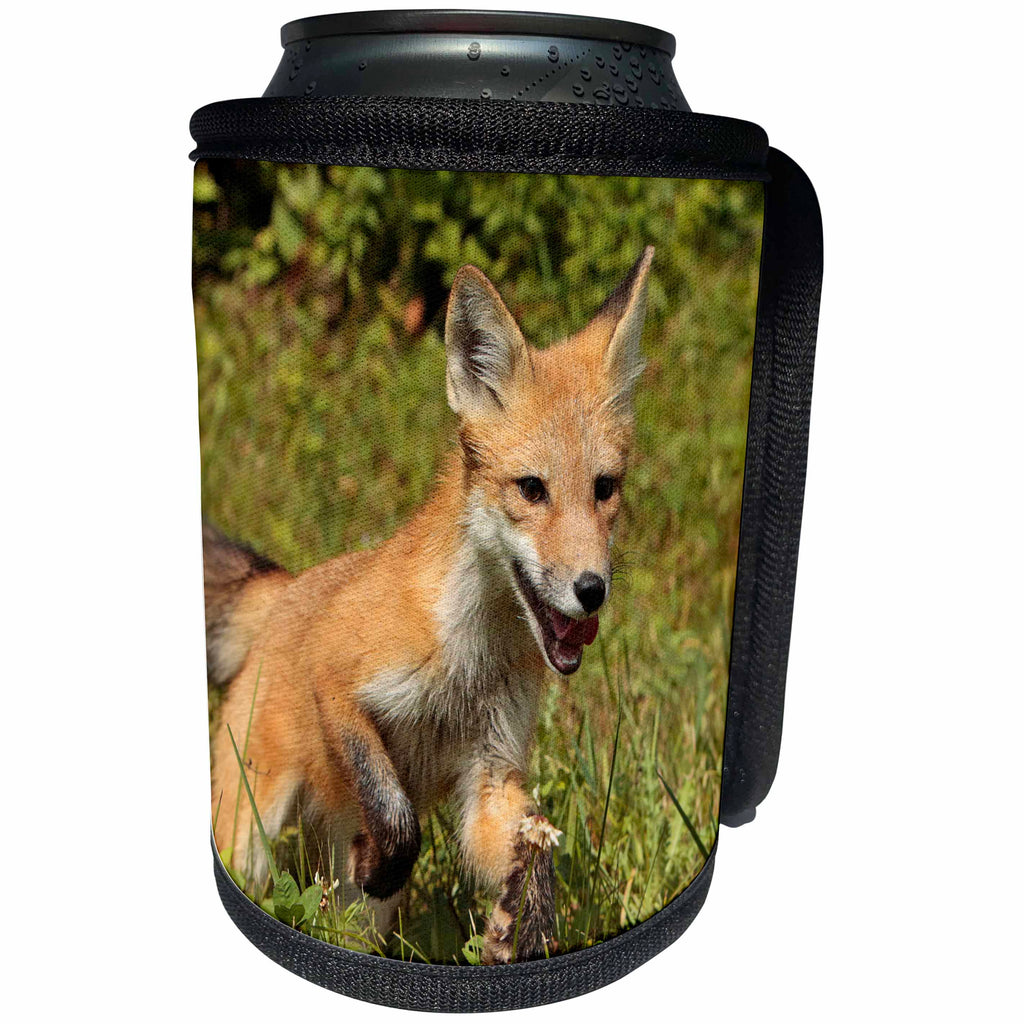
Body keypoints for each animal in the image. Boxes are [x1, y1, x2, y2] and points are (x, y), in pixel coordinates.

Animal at [206, 245, 654, 964]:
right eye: (531, 489)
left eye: (604, 489)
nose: (592, 590)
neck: (467, 657)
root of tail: (287, 586)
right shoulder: (337, 675)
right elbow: (400, 820)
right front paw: (388, 858)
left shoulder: (491, 773)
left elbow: (536, 853)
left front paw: (521, 933)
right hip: (249, 830)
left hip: (355, 903)